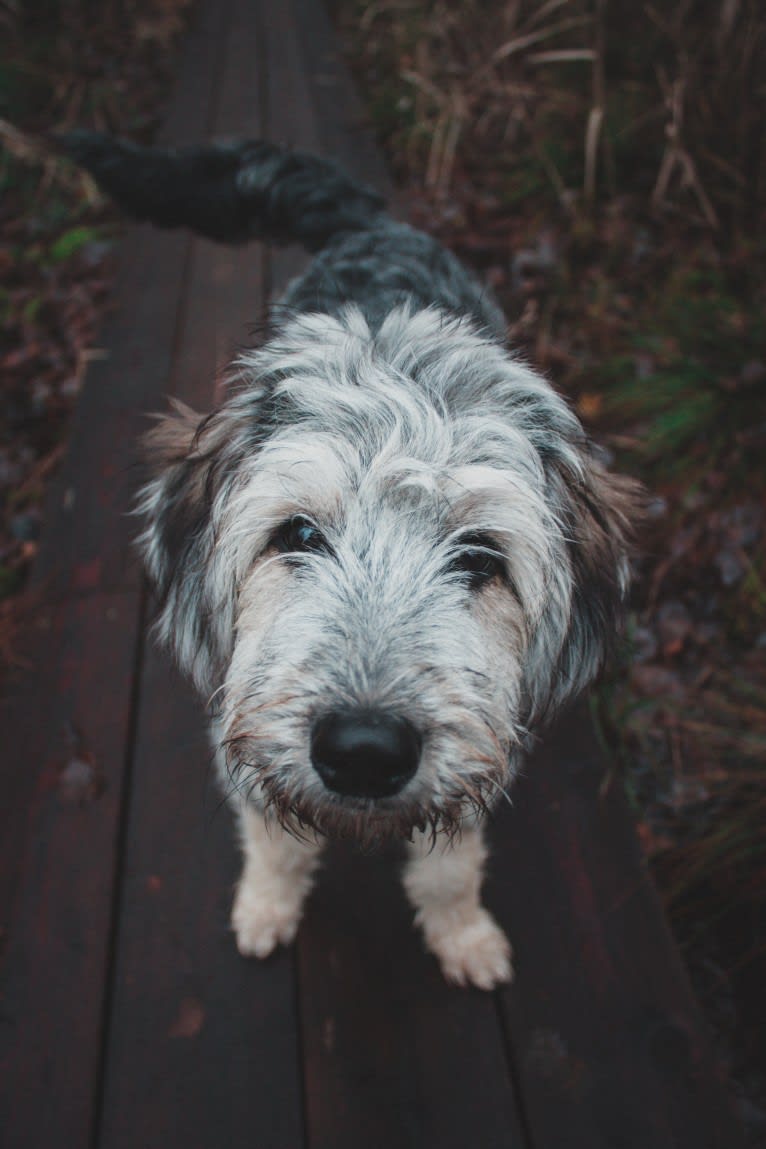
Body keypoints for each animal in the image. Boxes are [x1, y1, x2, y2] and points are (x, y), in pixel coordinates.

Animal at [62, 132, 638, 988]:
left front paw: (464, 933)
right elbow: (273, 840)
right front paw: (265, 906)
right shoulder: (248, 735)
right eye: (297, 535)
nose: (364, 751)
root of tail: (376, 223)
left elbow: (450, 867)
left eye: (481, 556)